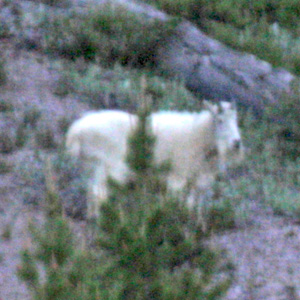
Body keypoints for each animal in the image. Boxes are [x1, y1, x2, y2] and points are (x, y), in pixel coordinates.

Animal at [65, 101, 244, 218]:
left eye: (236, 120)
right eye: (220, 120)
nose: (236, 143)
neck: (200, 135)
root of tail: (76, 131)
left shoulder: (197, 178)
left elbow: (193, 203)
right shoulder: (178, 175)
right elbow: (179, 200)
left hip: (92, 166)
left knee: (91, 190)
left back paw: (92, 215)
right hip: (108, 166)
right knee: (98, 193)